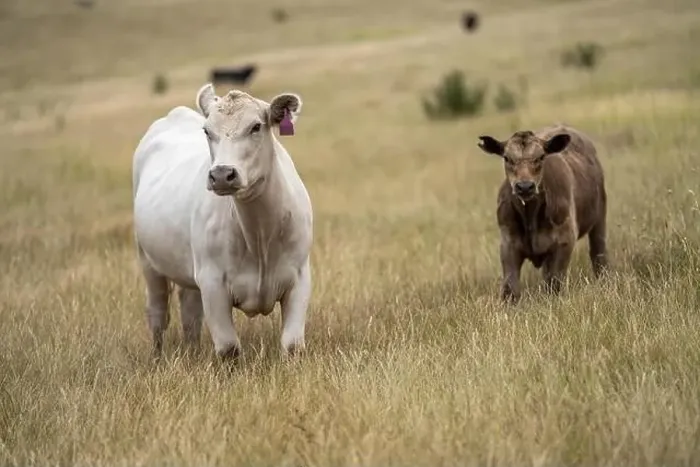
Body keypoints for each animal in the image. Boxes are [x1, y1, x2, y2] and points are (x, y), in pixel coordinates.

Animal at [132, 83, 313, 360]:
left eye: (256, 126)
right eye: (207, 130)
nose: (221, 174)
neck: (260, 235)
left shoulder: (300, 276)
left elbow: (292, 345)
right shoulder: (212, 282)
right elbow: (228, 348)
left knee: (190, 312)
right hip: (149, 261)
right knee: (158, 313)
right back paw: (157, 357)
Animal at [476, 124, 608, 302]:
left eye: (540, 157)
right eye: (507, 158)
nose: (525, 186)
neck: (530, 217)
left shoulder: (565, 240)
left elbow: (554, 283)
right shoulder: (508, 243)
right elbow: (510, 288)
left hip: (600, 216)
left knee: (598, 252)